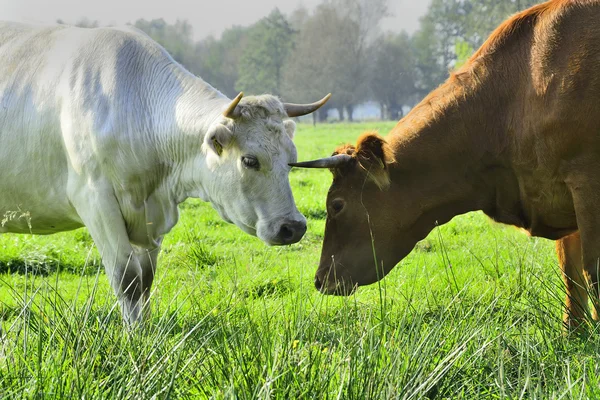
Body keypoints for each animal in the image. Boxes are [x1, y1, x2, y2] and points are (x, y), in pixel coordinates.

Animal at [0, 21, 328, 322]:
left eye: (292, 159)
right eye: (249, 160)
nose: (293, 227)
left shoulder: (151, 218)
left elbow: (145, 280)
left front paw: (145, 331)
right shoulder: (95, 201)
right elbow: (128, 279)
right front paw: (134, 338)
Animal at [292, 0, 600, 330]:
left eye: (336, 204)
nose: (320, 278)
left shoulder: (586, 182)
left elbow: (591, 269)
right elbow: (571, 274)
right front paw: (573, 331)